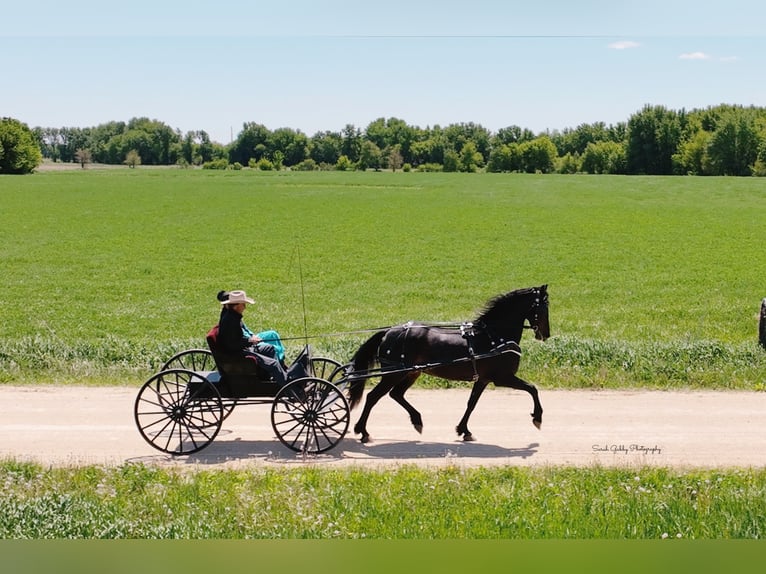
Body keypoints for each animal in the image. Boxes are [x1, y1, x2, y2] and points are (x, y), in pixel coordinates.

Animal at [346, 285, 549, 444]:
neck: (494, 337)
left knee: (396, 394)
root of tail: (389, 331)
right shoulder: (502, 378)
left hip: (411, 373)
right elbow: (532, 388)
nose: (545, 334)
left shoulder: (483, 379)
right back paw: (362, 431)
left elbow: (472, 403)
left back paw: (417, 420)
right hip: (393, 374)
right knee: (373, 397)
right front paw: (538, 417)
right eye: (544, 307)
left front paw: (464, 430)